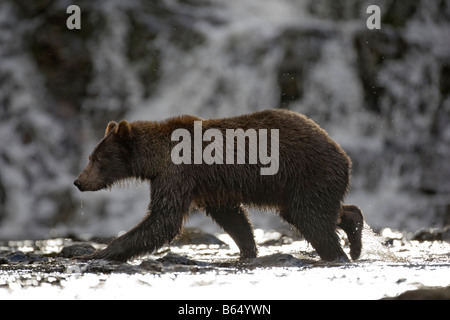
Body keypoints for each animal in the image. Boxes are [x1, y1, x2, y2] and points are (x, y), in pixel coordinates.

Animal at [73, 109, 362, 262]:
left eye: (97, 159)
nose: (78, 181)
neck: (156, 160)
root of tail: (343, 154)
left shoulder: (178, 174)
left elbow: (163, 218)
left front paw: (99, 252)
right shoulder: (210, 186)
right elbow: (232, 217)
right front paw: (247, 250)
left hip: (307, 173)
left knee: (312, 218)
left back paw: (337, 253)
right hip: (295, 188)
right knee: (311, 212)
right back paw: (354, 231)